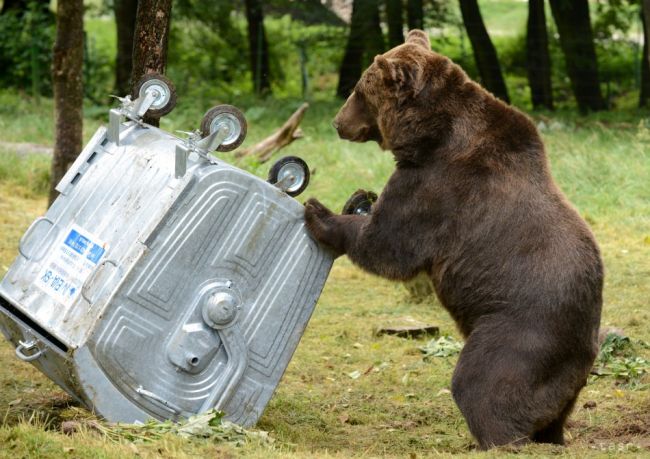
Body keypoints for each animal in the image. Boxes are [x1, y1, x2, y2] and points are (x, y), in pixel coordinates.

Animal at [304, 30, 604, 452]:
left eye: (360, 90)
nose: (337, 122)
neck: (427, 136)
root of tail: (585, 353)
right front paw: (358, 198)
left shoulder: (438, 186)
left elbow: (389, 245)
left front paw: (320, 212)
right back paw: (549, 436)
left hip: (519, 331)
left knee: (482, 382)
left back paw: (494, 438)